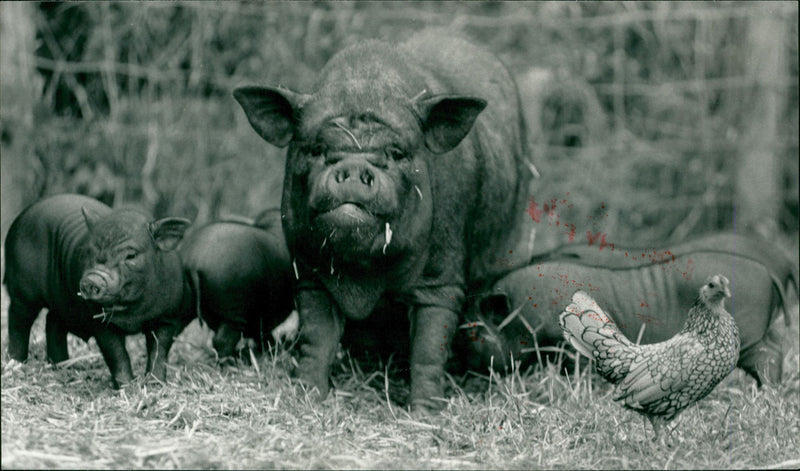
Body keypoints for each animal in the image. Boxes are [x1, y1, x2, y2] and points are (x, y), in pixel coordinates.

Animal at [3, 194, 193, 388]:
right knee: (18, 319)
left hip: (63, 301)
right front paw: (126, 386)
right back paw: (16, 363)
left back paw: (63, 365)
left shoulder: (168, 317)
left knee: (52, 320)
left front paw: (157, 384)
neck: (134, 313)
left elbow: (159, 351)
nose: (92, 278)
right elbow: (117, 354)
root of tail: (20, 219)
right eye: (89, 251)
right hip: (23, 288)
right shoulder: (101, 324)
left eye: (131, 255)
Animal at [233, 29, 536, 410]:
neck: (364, 280)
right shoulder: (310, 271)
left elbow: (429, 346)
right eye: (316, 149)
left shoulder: (441, 278)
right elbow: (317, 337)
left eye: (396, 153)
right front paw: (307, 394)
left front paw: (425, 411)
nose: (352, 168)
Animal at [462, 234, 796, 386]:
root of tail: (769, 270)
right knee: (771, 353)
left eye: (471, 334)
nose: (453, 362)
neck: (520, 315)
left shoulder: (568, 347)